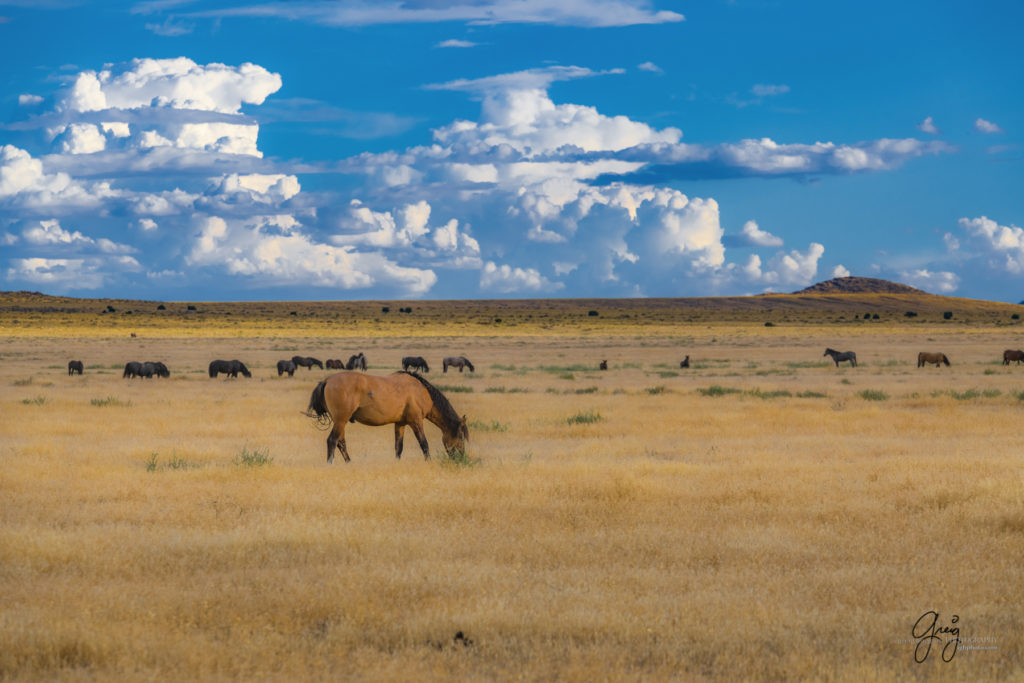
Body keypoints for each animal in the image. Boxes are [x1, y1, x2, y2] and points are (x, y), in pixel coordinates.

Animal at [301, 374, 466, 464]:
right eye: (461, 437)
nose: (461, 457)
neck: (420, 391)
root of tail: (327, 380)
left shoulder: (400, 424)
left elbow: (399, 447)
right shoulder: (416, 422)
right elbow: (424, 444)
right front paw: (429, 462)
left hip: (340, 422)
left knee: (341, 443)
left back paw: (349, 463)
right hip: (341, 420)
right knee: (332, 441)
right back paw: (331, 463)